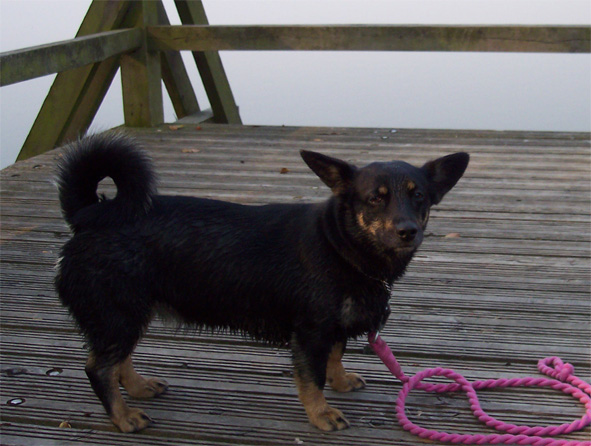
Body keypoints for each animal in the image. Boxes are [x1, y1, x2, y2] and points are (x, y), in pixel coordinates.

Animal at [54, 132, 469, 433]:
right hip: (118, 314)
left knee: (118, 361)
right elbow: (312, 378)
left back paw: (139, 388)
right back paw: (123, 417)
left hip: (127, 315)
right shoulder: (311, 332)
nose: (408, 231)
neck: (341, 245)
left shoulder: (332, 327)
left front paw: (339, 382)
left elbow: (335, 358)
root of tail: (91, 214)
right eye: (374, 199)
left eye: (419, 197)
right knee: (98, 369)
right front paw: (321, 414)